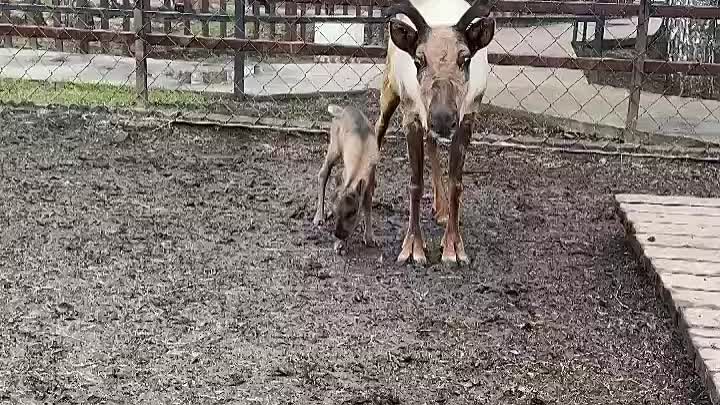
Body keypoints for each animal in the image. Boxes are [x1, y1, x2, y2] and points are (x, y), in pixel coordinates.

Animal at [312, 104, 380, 249]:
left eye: (352, 212)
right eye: (336, 212)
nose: (338, 234)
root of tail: (341, 111)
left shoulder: (370, 178)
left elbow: (367, 203)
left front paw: (370, 238)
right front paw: (339, 245)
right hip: (334, 148)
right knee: (323, 172)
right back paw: (319, 217)